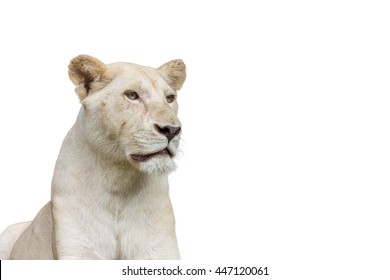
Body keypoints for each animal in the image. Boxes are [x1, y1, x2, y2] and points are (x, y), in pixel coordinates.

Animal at [0, 55, 186, 260]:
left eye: (169, 98)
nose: (172, 130)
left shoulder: (159, 251)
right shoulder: (79, 250)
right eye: (132, 95)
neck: (120, 181)